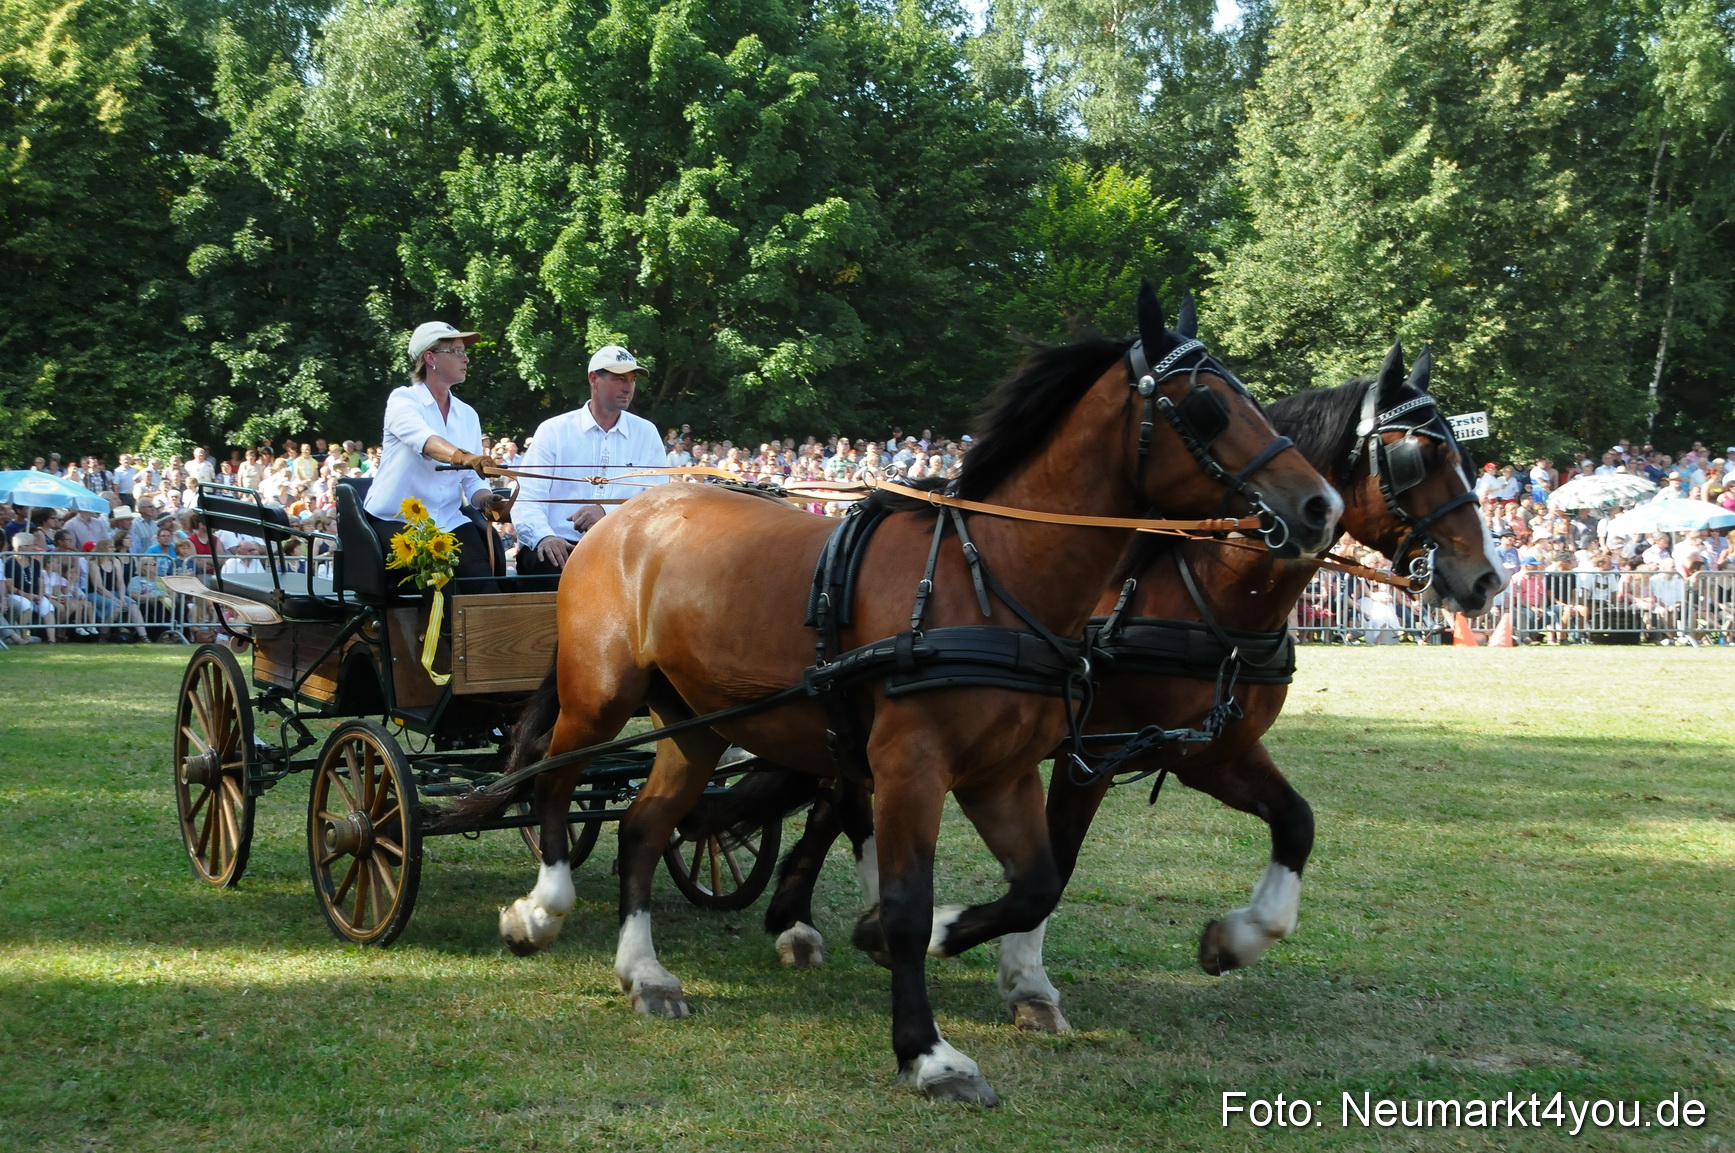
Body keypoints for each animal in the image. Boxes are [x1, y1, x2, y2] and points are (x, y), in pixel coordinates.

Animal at [471, 284, 1342, 1104]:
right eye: (1207, 407)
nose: (1319, 506)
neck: (989, 576)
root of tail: (617, 520)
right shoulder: (914, 766)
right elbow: (908, 897)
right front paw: (928, 1050)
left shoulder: (1005, 772)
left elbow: (1035, 882)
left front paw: (937, 939)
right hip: (599, 696)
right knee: (553, 783)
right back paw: (539, 908)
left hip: (696, 723)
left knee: (645, 827)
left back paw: (645, 972)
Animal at [755, 340, 1506, 1034]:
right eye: (1414, 458)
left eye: (1465, 458)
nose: (1488, 578)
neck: (1198, 593)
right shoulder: (1089, 753)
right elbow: (1055, 863)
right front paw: (1025, 980)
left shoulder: (1208, 751)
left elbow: (1296, 822)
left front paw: (1235, 939)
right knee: (837, 802)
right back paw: (803, 921)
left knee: (836, 802)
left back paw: (809, 916)